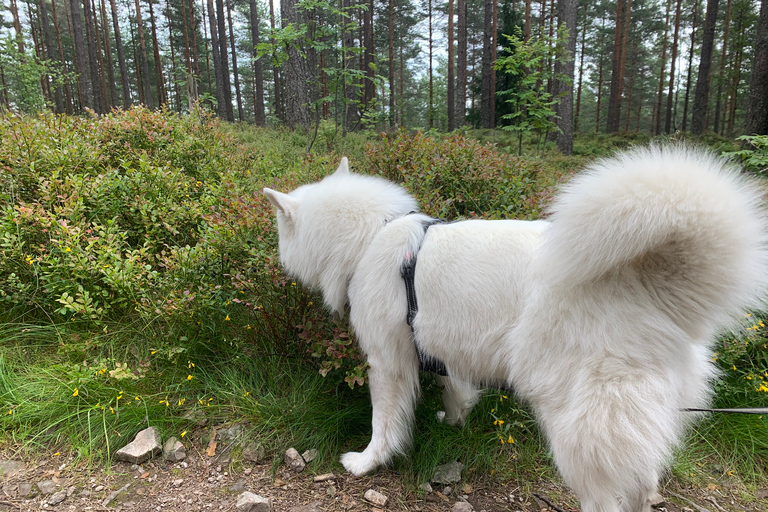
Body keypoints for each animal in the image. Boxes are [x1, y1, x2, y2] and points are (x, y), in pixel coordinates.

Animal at [264, 145, 768, 512]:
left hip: (576, 425)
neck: (372, 236)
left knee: (606, 499)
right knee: (642, 488)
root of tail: (647, 282)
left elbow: (383, 423)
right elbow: (456, 392)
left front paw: (366, 462)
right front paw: (454, 421)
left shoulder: (387, 362)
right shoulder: (448, 349)